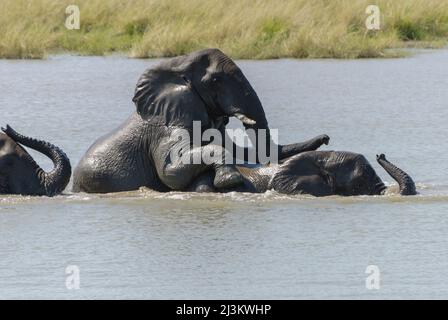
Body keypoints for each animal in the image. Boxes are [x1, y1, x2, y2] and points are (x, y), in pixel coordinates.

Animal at [73, 47, 328, 192]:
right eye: (215, 81)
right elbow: (171, 173)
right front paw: (230, 180)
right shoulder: (165, 128)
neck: (177, 64)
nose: (326, 137)